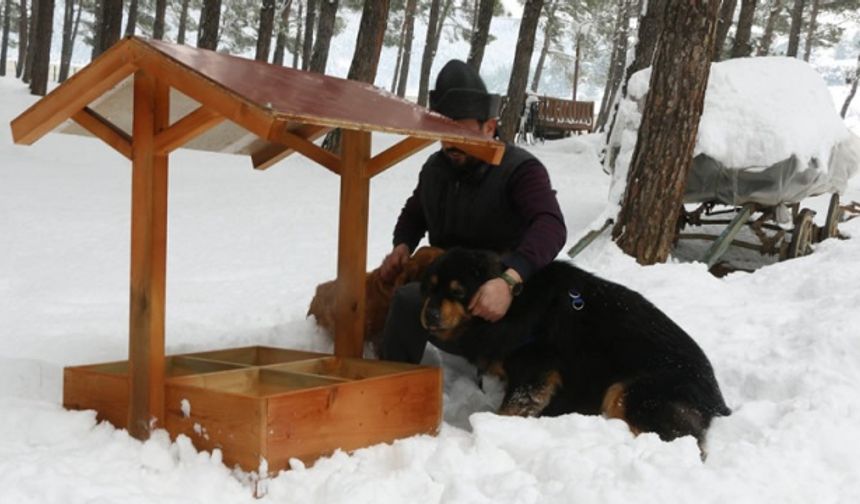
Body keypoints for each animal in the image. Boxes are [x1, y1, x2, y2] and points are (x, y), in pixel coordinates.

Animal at [420, 247, 728, 452]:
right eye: (430, 288)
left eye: (458, 292)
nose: (429, 315)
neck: (515, 304)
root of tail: (716, 397)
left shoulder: (534, 371)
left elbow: (511, 408)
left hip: (628, 392)